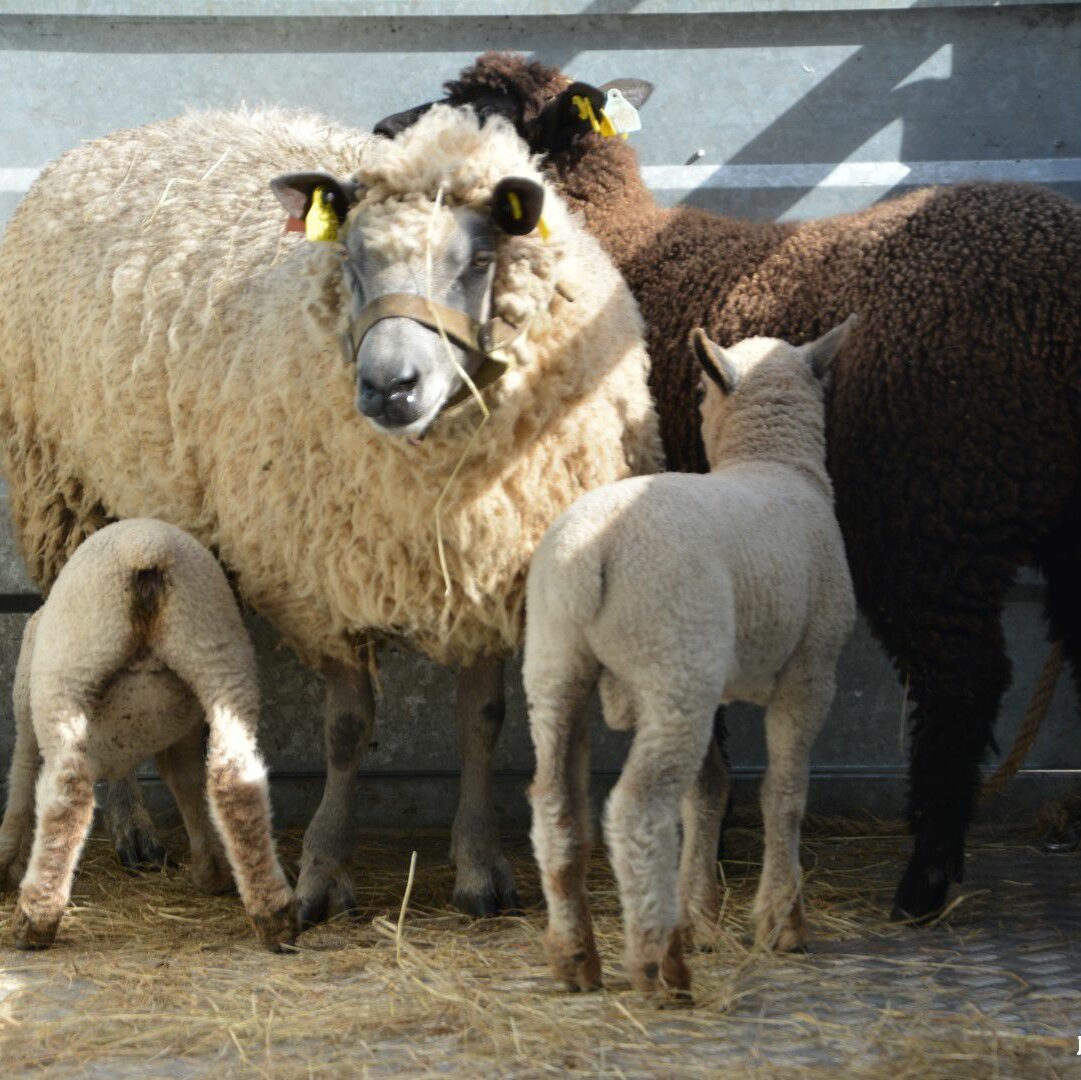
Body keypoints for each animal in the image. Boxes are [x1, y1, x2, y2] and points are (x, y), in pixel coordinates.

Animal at [0, 518, 296, 951]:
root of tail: (143, 550)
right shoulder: (182, 733)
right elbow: (186, 779)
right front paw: (211, 869)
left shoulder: (26, 708)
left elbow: (20, 781)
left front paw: (5, 863)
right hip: (219, 657)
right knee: (235, 781)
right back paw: (273, 914)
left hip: (69, 673)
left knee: (67, 794)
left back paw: (36, 920)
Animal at [518, 317, 856, 994]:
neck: (770, 459)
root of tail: (592, 554)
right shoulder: (811, 669)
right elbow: (784, 792)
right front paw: (782, 921)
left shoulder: (714, 685)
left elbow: (706, 793)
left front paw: (700, 917)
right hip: (673, 657)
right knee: (637, 808)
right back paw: (658, 965)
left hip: (560, 663)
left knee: (555, 804)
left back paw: (575, 957)